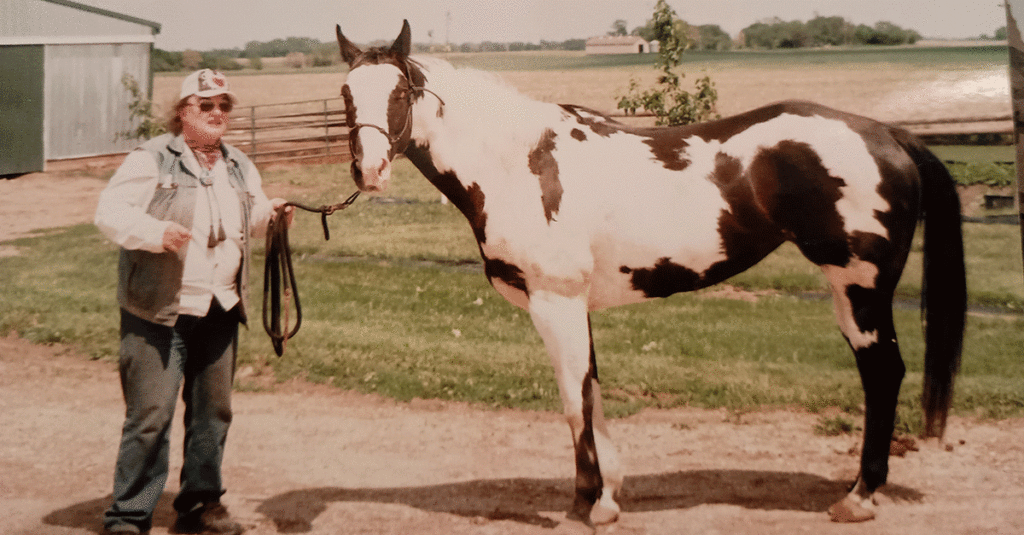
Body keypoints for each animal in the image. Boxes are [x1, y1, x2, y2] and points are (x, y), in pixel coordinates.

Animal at [335, 19, 966, 524]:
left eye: (401, 91)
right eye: (344, 92)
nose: (370, 171)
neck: (520, 163)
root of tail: (887, 134)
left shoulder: (555, 303)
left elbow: (572, 397)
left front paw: (587, 504)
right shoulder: (576, 307)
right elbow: (591, 392)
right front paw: (605, 496)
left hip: (858, 288)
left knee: (883, 373)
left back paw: (858, 497)